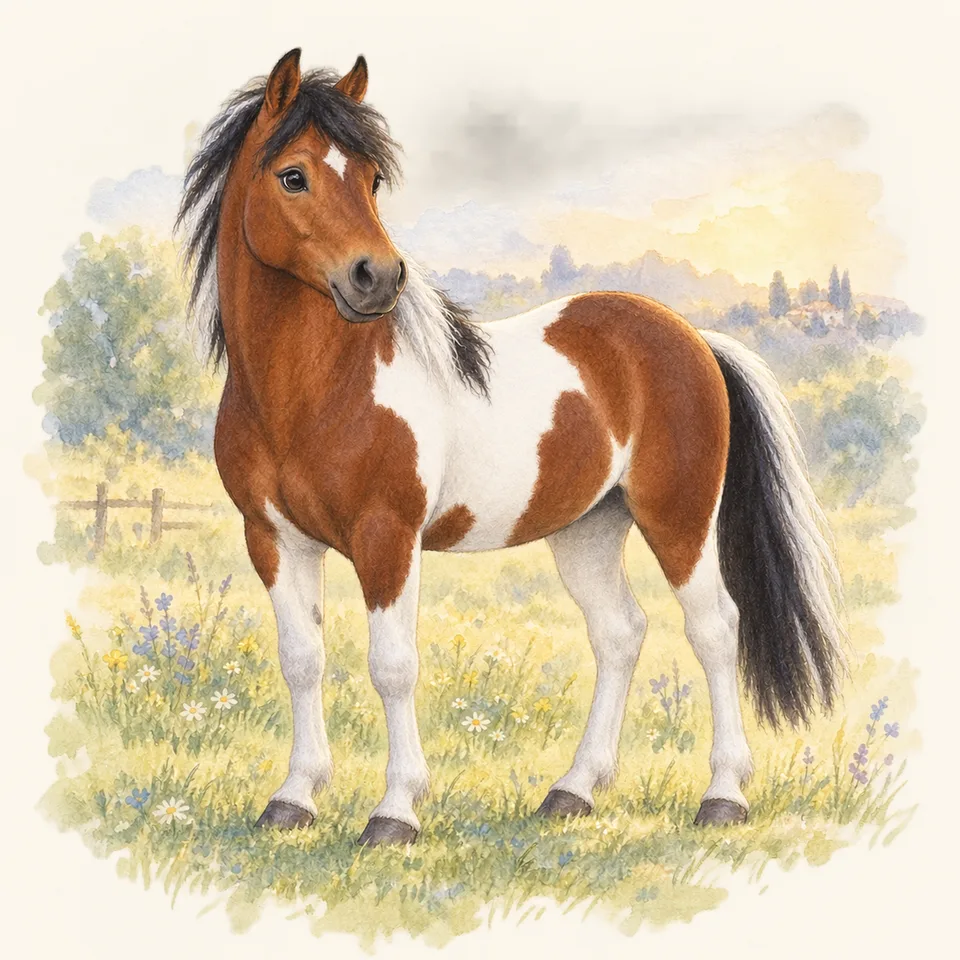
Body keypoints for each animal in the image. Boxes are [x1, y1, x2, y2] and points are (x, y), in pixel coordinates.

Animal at [177, 49, 844, 847]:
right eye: (293, 176)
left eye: (371, 178)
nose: (377, 277)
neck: (314, 389)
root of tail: (691, 338)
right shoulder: (274, 538)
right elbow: (302, 660)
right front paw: (293, 800)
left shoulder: (386, 537)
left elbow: (392, 665)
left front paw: (394, 812)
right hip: (588, 529)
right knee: (620, 633)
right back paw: (573, 791)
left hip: (678, 520)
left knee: (715, 629)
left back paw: (723, 797)